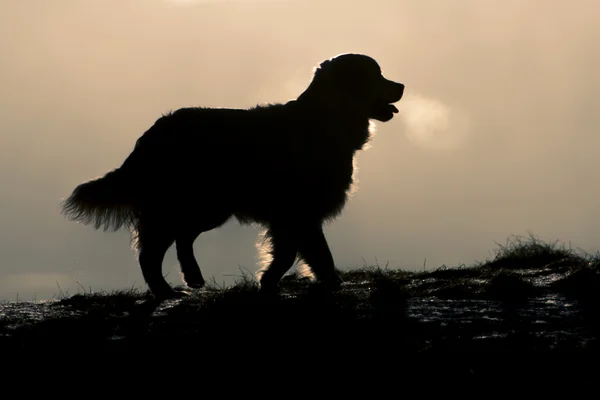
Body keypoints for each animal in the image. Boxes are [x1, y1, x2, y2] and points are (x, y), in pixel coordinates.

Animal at [61, 54, 406, 302]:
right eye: (376, 74)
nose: (402, 86)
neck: (328, 116)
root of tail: (153, 132)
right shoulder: (300, 211)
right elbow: (316, 253)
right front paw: (328, 282)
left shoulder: (289, 216)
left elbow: (290, 252)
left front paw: (269, 281)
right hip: (183, 205)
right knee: (150, 252)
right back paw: (166, 291)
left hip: (209, 207)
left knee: (182, 238)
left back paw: (193, 278)